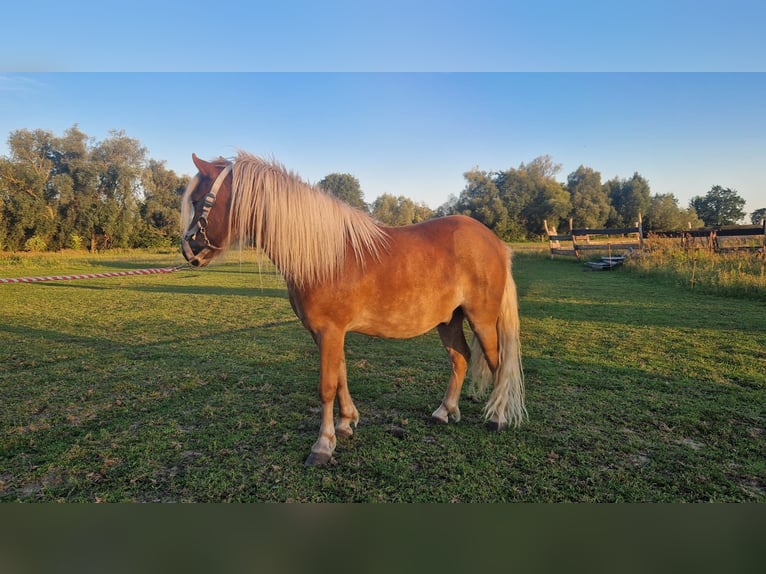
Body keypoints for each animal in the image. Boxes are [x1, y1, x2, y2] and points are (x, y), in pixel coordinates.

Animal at [183, 153, 524, 468]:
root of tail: (495, 242)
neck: (325, 258)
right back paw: (444, 411)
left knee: (497, 362)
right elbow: (341, 375)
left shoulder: (330, 331)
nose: (188, 250)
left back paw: (497, 417)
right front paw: (346, 423)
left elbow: (326, 386)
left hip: (482, 320)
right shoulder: (327, 333)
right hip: (449, 320)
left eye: (199, 200)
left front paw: (323, 445)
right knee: (460, 358)